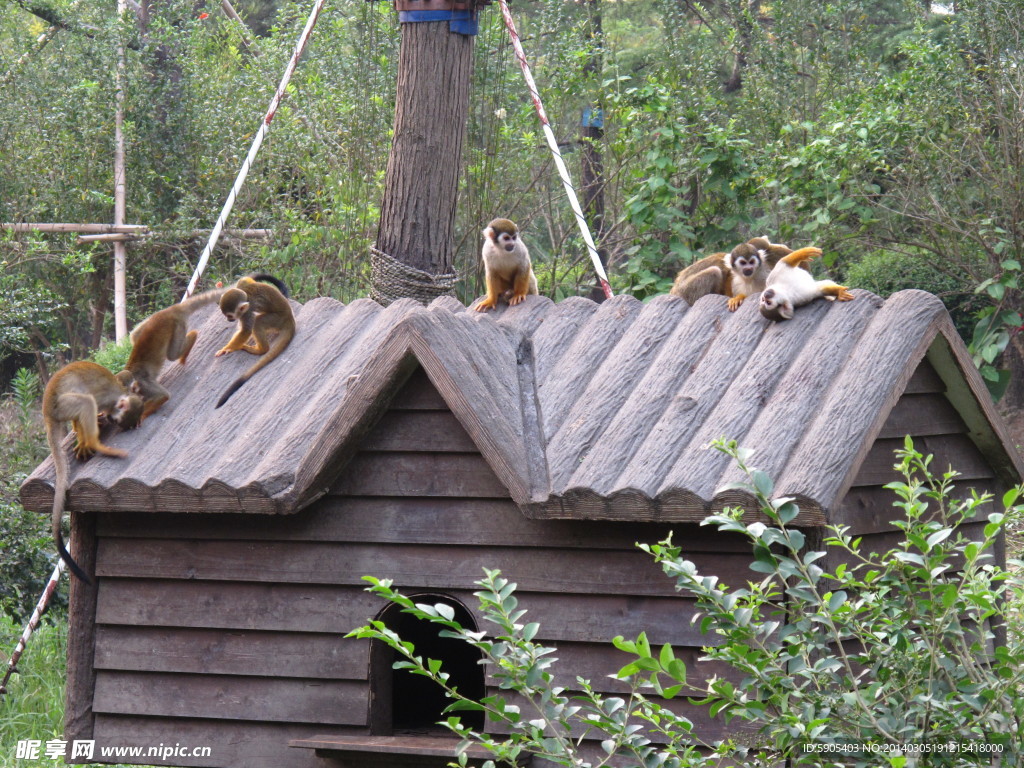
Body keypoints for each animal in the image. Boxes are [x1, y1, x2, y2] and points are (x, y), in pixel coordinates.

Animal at [44, 360, 143, 581]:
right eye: (117, 421)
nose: (112, 420)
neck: (118, 395)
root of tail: (47, 409)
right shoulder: (107, 399)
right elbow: (94, 402)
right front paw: (87, 438)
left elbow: (124, 375)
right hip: (62, 405)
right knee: (86, 401)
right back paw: (94, 443)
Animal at [116, 286, 228, 421]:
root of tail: (172, 309)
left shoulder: (142, 383)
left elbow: (163, 395)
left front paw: (141, 416)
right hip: (152, 319)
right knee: (134, 335)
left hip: (177, 325)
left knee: (172, 354)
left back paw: (192, 336)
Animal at [214, 274, 294, 409]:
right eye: (226, 315)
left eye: (230, 316)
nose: (229, 320)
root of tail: (290, 318)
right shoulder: (241, 287)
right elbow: (244, 280)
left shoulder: (247, 311)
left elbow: (246, 330)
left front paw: (227, 348)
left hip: (277, 320)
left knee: (258, 322)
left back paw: (261, 350)